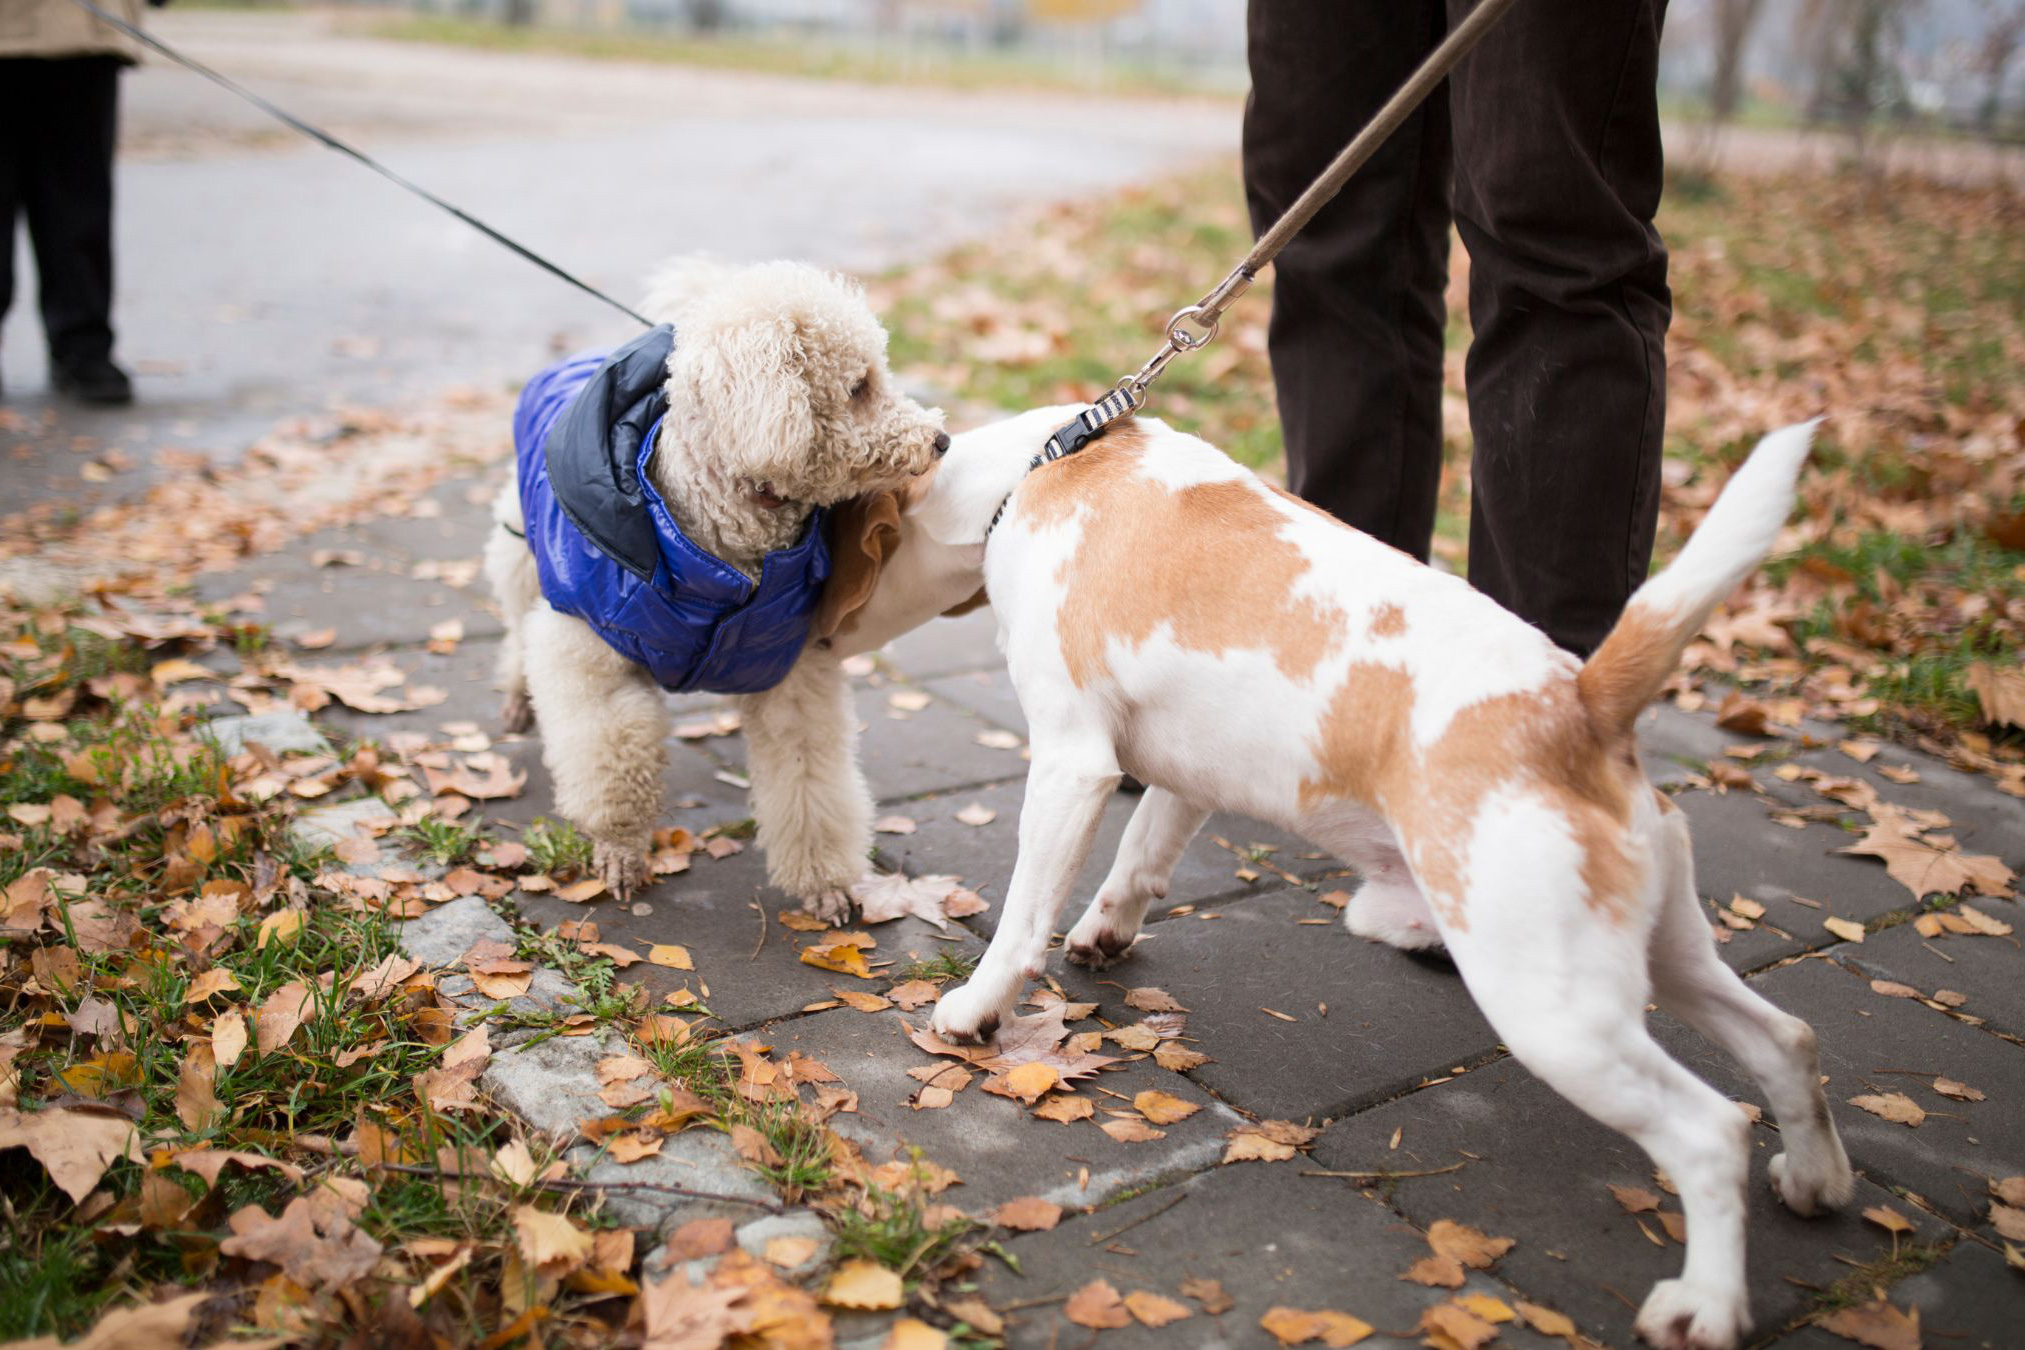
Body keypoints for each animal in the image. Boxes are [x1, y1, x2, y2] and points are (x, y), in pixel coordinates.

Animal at [878, 408, 1846, 1350]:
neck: (1048, 461)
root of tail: (1578, 703)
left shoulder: (1071, 762)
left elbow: (1020, 919)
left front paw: (974, 1010)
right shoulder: (1185, 778)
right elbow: (1140, 855)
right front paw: (1104, 933)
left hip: (1554, 1014)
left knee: (1710, 1133)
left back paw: (1706, 1307)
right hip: (1663, 960)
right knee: (1788, 1040)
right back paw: (1816, 1181)